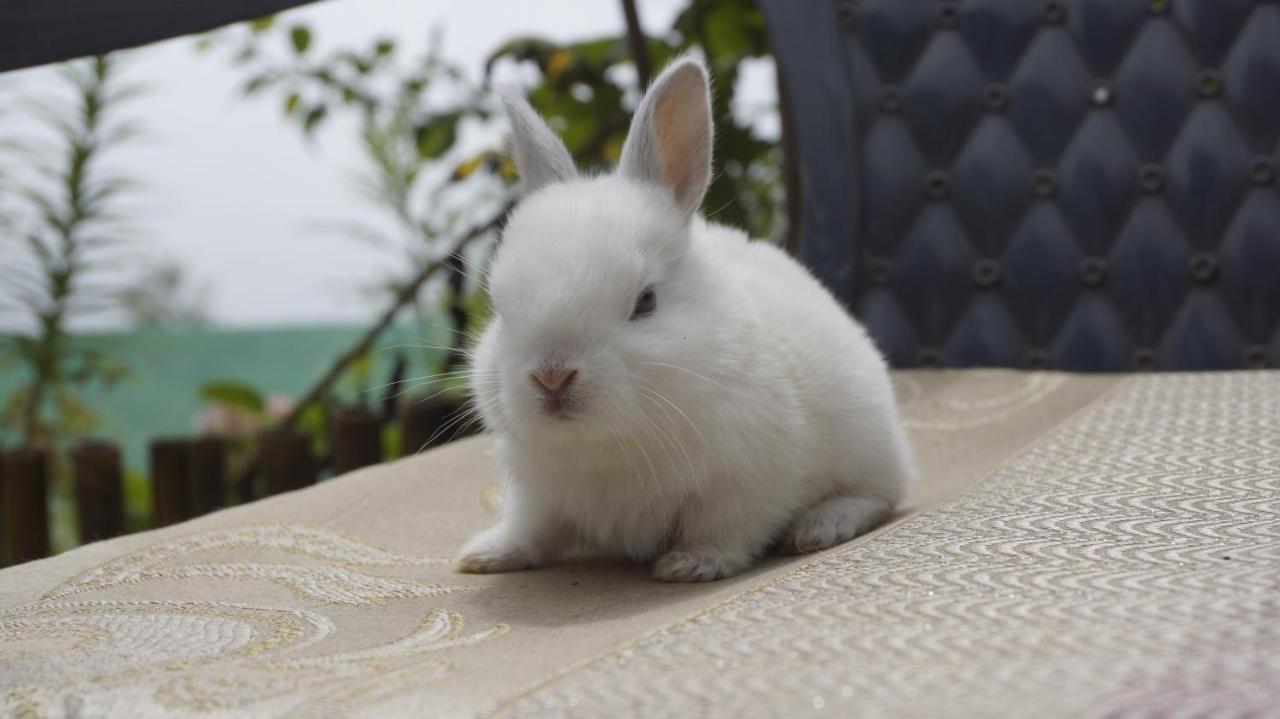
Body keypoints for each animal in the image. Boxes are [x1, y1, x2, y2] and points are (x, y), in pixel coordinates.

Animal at [455, 57, 916, 583]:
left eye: (646, 301)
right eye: (501, 308)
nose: (552, 376)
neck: (607, 445)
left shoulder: (745, 481)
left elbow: (727, 529)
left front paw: (691, 564)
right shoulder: (538, 494)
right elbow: (532, 530)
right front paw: (486, 555)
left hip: (869, 445)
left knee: (880, 495)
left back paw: (821, 527)